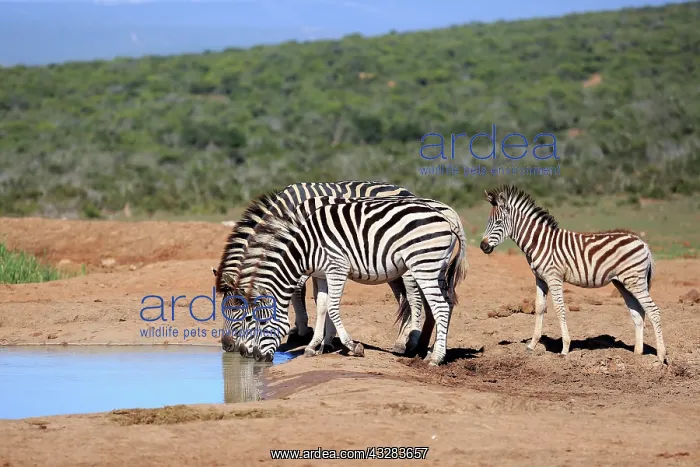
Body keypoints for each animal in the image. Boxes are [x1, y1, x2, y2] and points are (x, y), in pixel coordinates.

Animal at [221, 194, 468, 366]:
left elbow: (331, 306)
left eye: (255, 321)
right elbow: (322, 305)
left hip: (422, 265)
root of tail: (448, 217)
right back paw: (431, 350)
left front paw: (350, 345)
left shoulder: (336, 268)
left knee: (437, 306)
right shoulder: (321, 274)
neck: (305, 246)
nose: (249, 355)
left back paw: (432, 357)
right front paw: (315, 346)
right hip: (436, 268)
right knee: (445, 304)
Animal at [479, 185, 666, 363]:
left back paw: (660, 357)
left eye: (498, 222)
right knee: (638, 313)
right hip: (623, 283)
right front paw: (532, 345)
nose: (483, 246)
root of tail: (642, 242)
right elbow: (539, 307)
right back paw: (637, 355)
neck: (539, 242)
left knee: (653, 311)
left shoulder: (554, 277)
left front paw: (565, 349)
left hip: (635, 281)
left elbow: (559, 308)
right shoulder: (540, 278)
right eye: (489, 221)